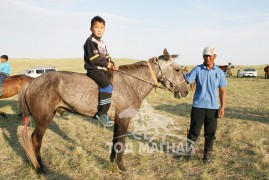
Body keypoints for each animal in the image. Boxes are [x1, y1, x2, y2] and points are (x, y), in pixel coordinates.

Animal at [19, 48, 188, 173]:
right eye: (177, 69)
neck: (131, 83)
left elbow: (115, 141)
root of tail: (31, 83)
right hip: (44, 119)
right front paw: (122, 167)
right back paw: (40, 168)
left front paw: (113, 162)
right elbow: (121, 143)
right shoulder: (124, 120)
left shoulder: (118, 121)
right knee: (36, 141)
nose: (185, 91)